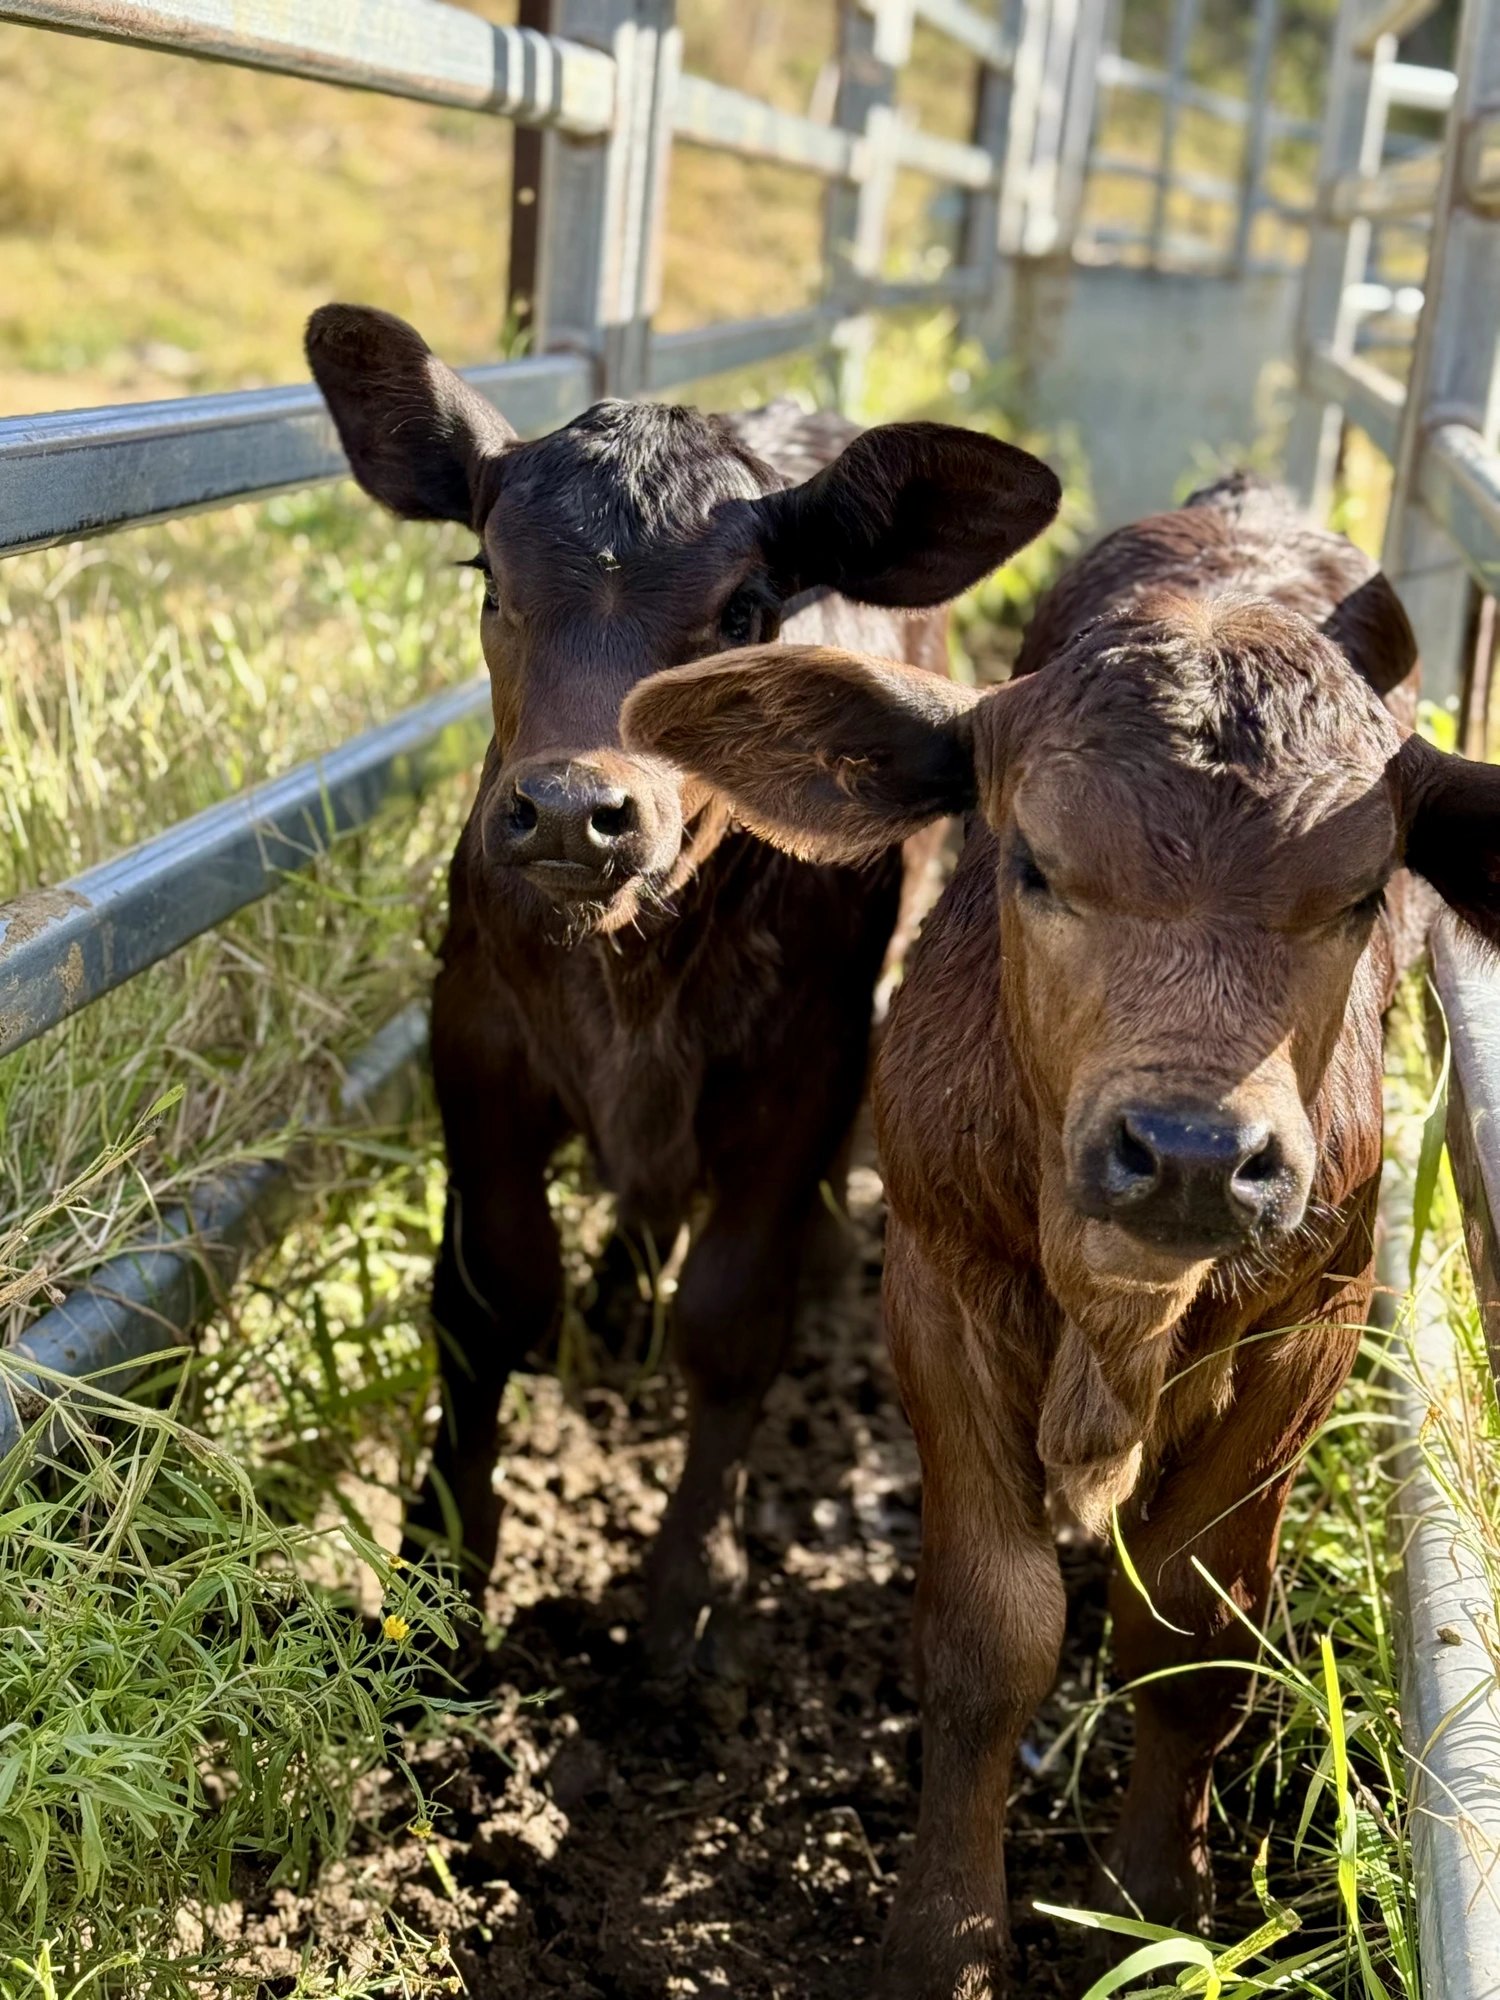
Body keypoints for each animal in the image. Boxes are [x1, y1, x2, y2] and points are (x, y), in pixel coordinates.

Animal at [304, 304, 1061, 1678]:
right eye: (490, 581)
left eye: (748, 606)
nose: (571, 810)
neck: (630, 967)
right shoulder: (475, 1050)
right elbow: (491, 1295)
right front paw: (437, 1569)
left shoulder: (805, 1068)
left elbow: (732, 1315)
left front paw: (685, 1585)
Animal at [621, 474, 1500, 1995]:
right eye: (1033, 863)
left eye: (1360, 896)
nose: (1191, 1152)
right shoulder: (938, 1284)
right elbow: (991, 1638)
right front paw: (943, 1941)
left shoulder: (1314, 1320)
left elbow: (1194, 1632)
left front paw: (1155, 1901)